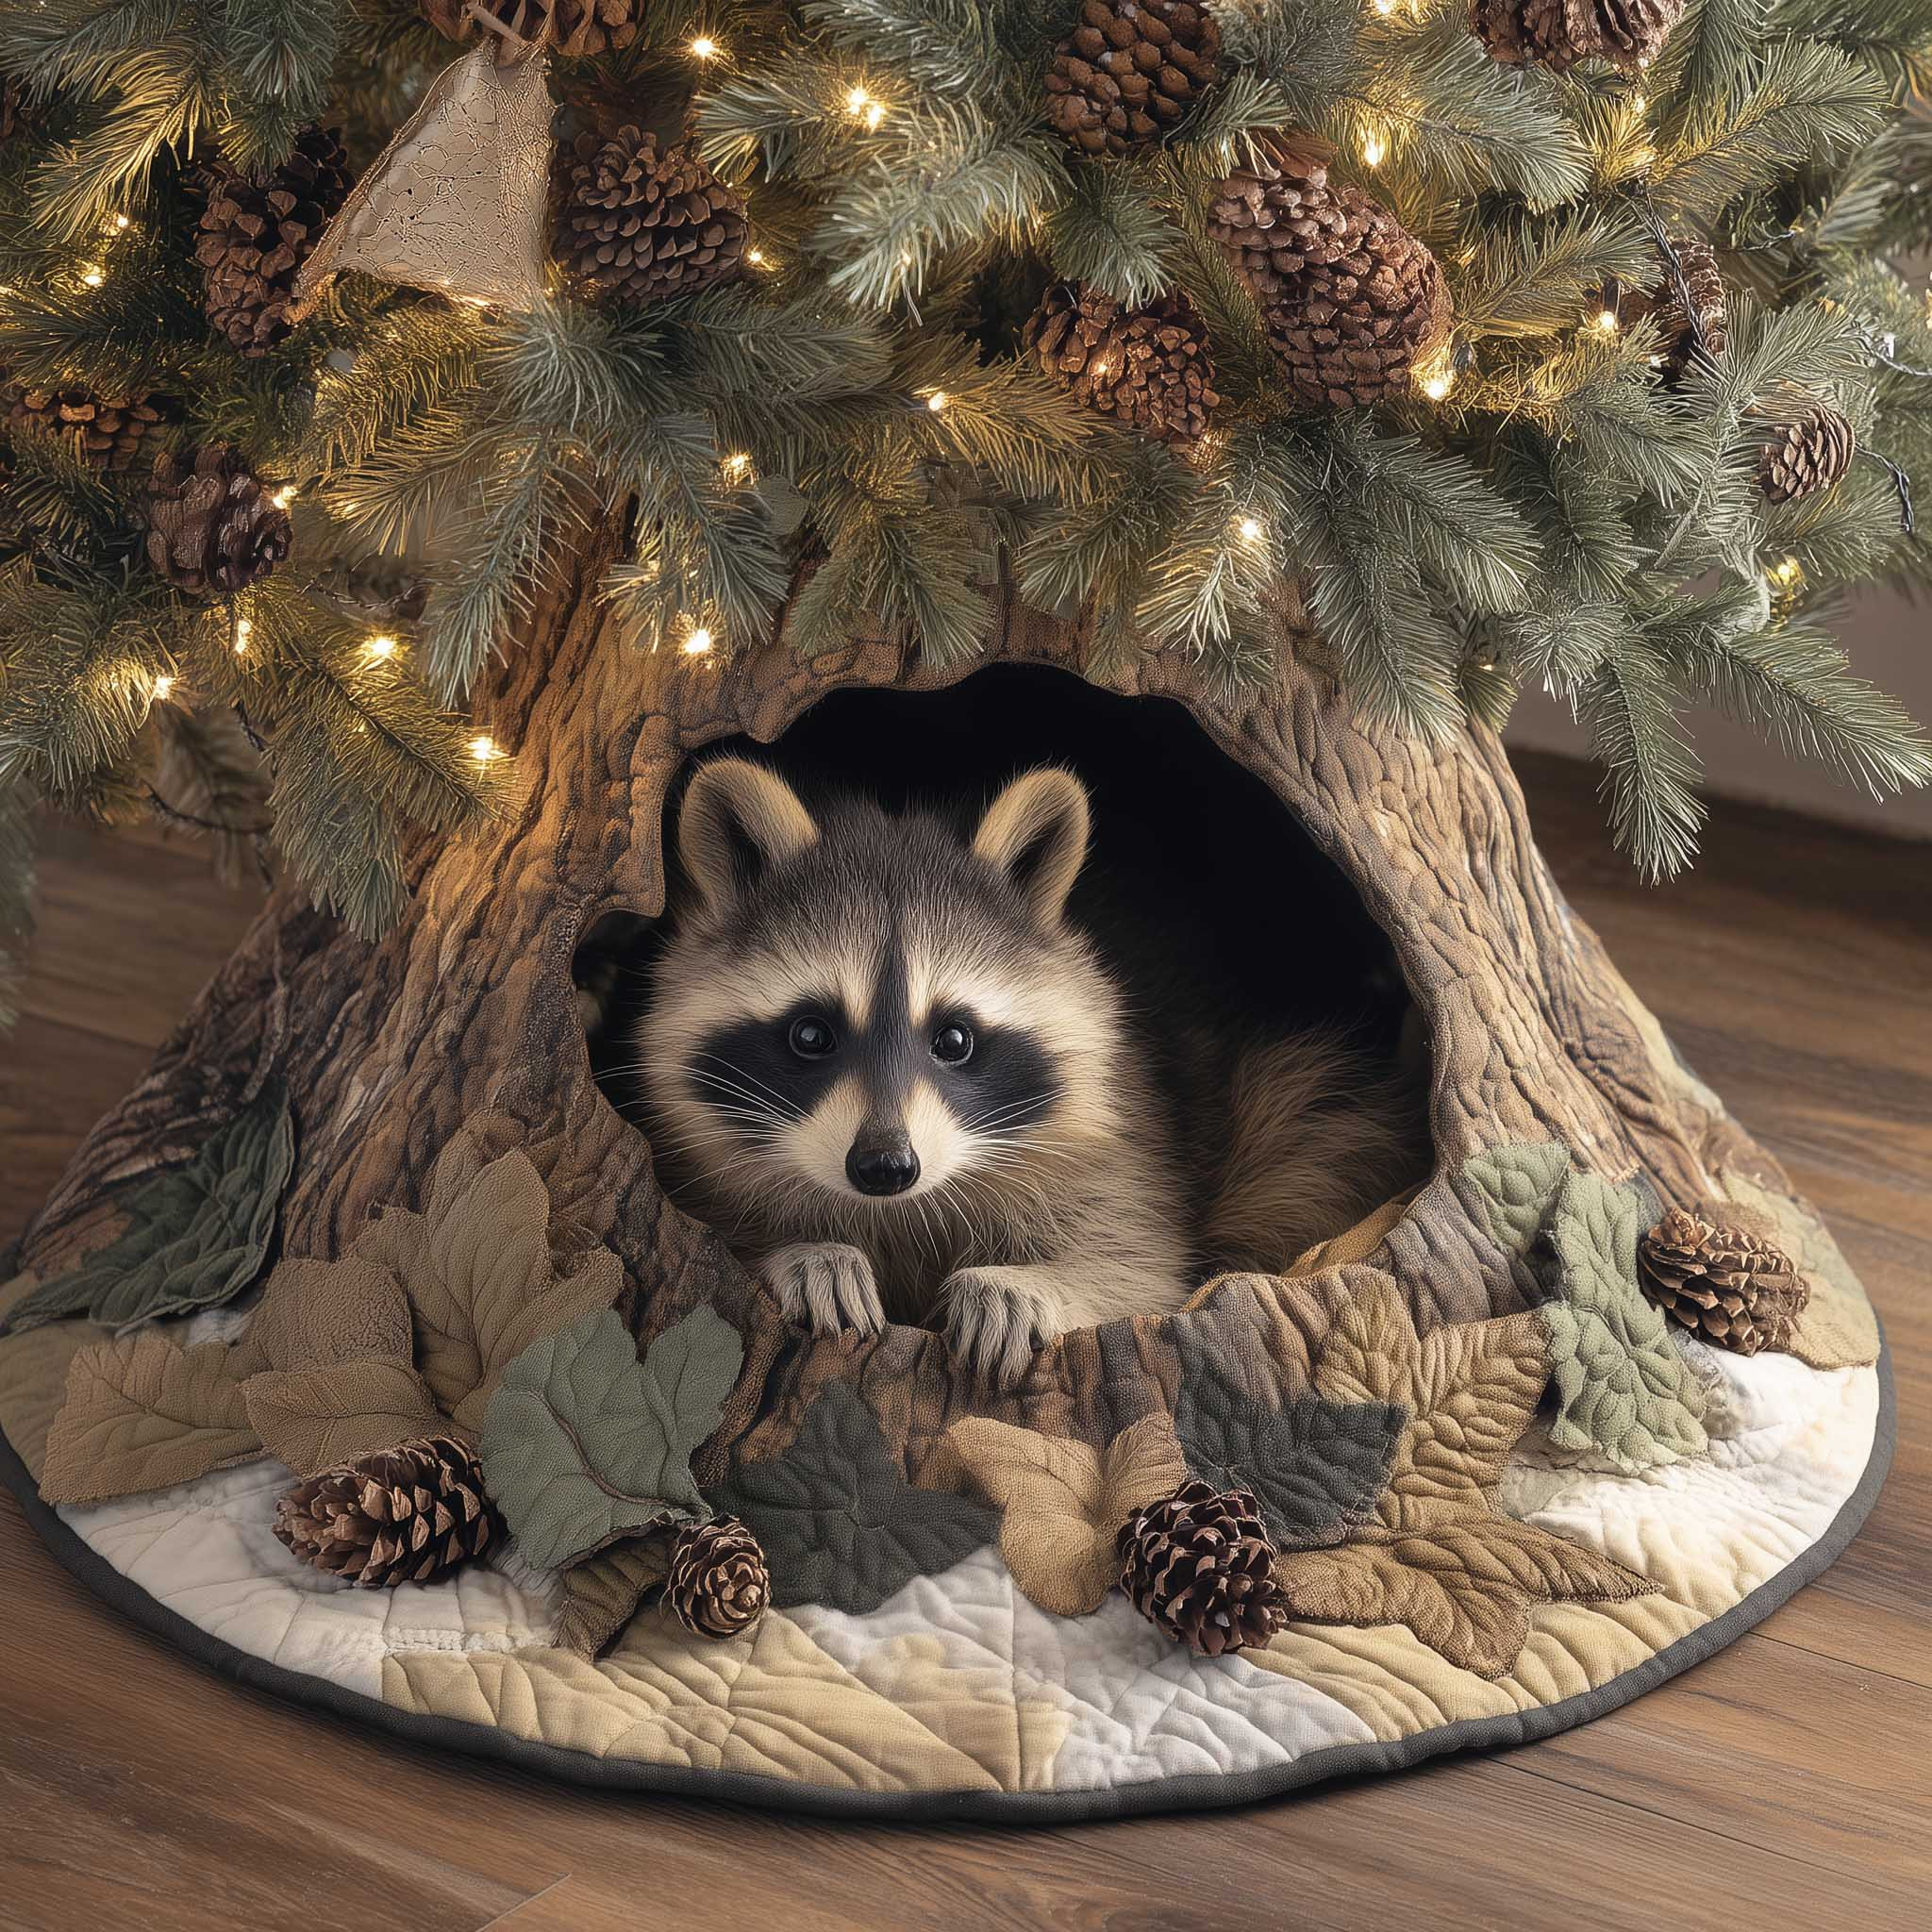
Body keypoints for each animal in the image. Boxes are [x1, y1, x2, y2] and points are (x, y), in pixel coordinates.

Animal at [630, 757, 1424, 1386]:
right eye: (811, 1035)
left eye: (953, 1038)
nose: (885, 1166)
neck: (902, 1208)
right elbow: (708, 1237)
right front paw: (805, 1253)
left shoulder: (1123, 1137)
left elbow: (1139, 1266)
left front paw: (1026, 1285)